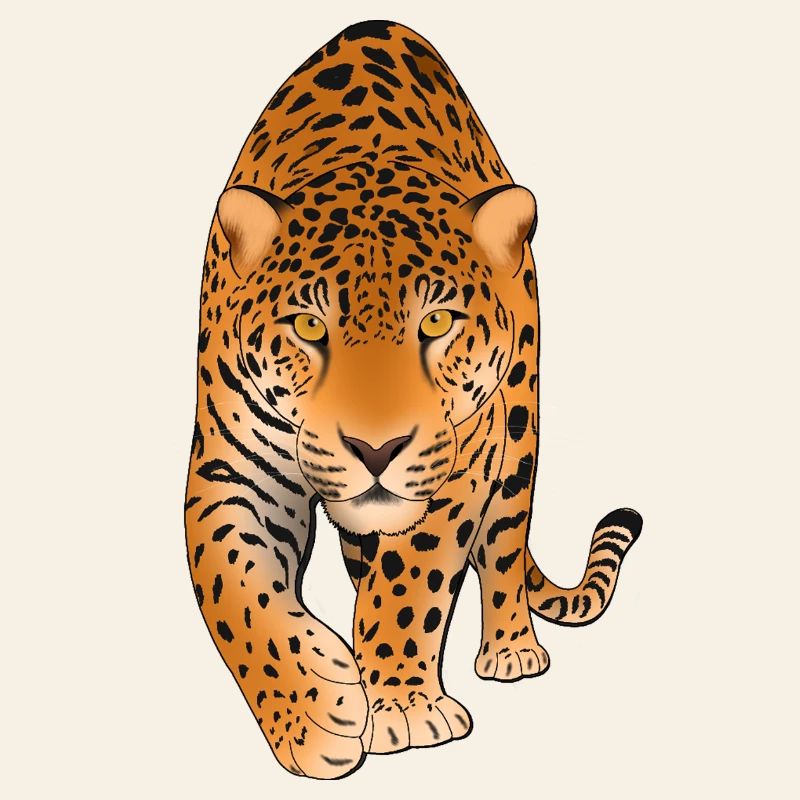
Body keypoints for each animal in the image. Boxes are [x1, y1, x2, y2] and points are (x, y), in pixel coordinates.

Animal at [184, 19, 642, 780]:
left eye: (435, 322)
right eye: (310, 327)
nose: (376, 450)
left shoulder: (459, 464)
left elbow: (410, 581)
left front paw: (399, 705)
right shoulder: (232, 467)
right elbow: (233, 587)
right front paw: (314, 713)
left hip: (518, 430)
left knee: (505, 544)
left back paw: (511, 648)